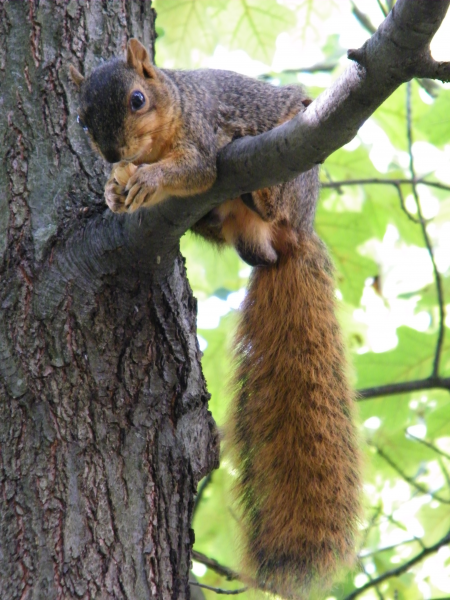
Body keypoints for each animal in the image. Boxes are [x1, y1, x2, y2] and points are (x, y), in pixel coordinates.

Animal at [70, 39, 362, 596]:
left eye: (137, 99)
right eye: (81, 117)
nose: (115, 156)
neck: (173, 107)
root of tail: (293, 240)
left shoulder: (202, 138)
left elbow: (195, 170)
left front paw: (149, 179)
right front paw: (115, 190)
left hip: (292, 182)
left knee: (272, 202)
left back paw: (263, 192)